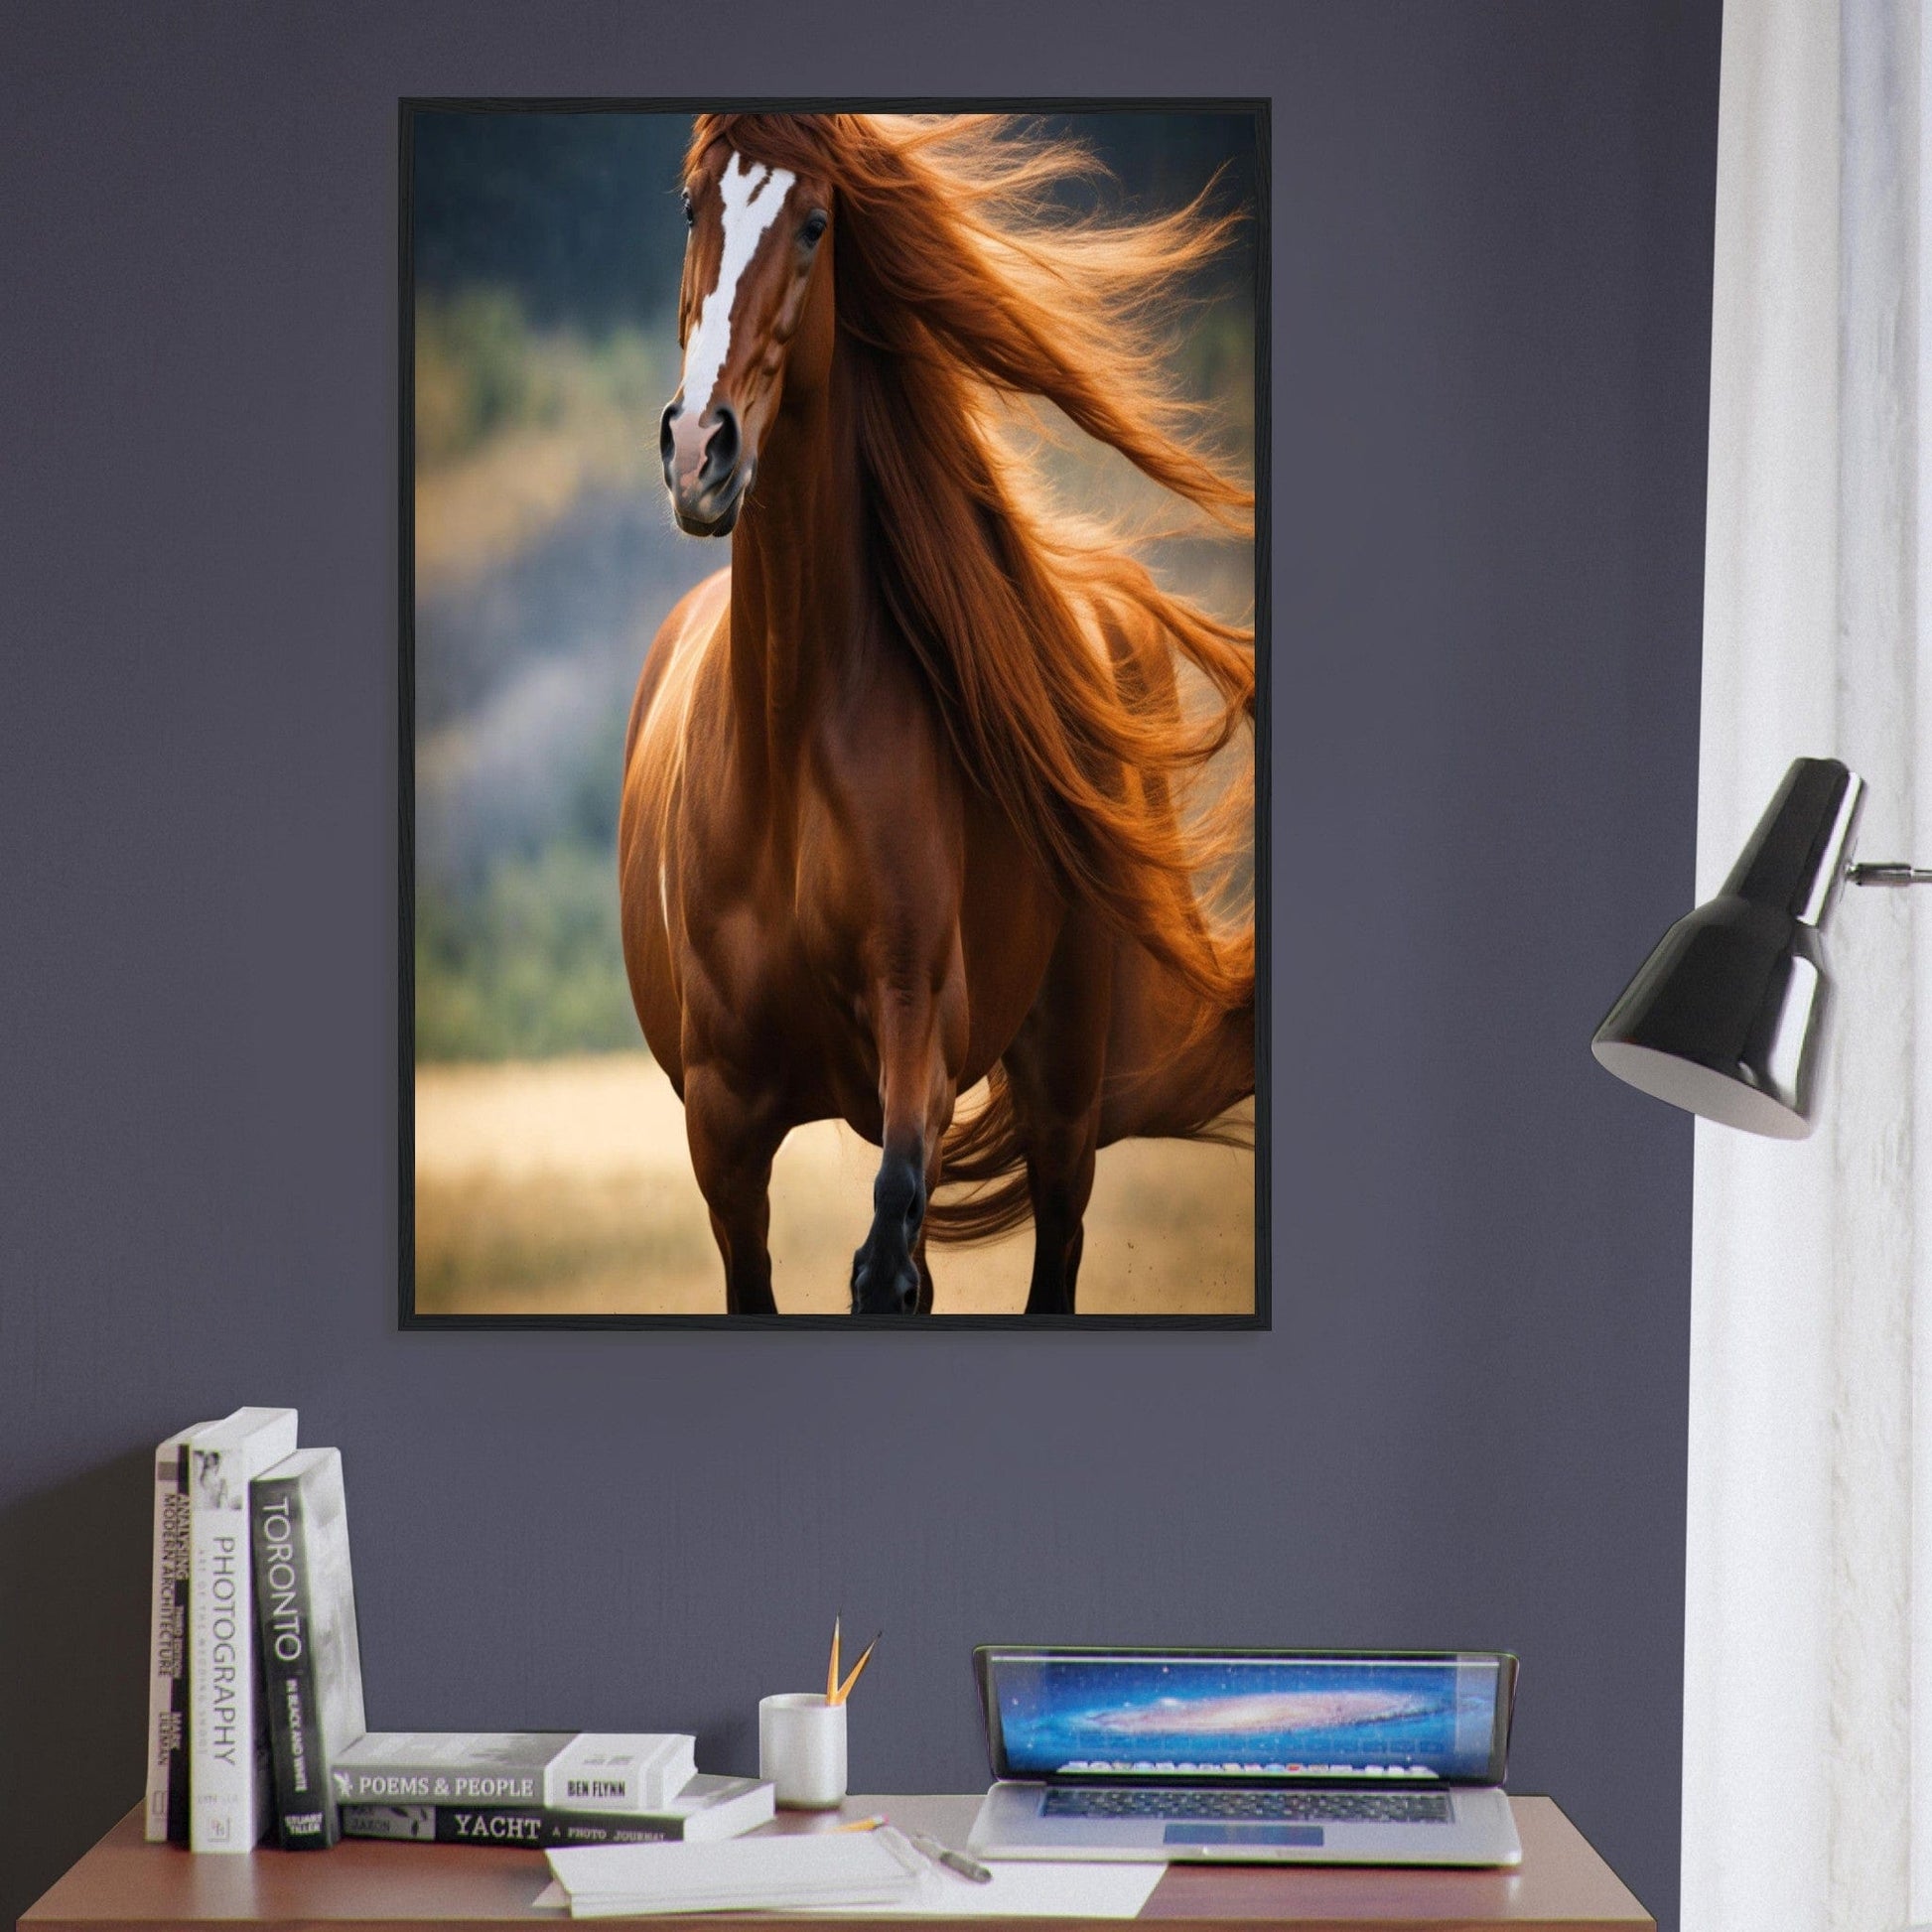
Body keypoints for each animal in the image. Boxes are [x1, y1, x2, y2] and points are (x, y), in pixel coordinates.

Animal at [618, 112, 1256, 1316]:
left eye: (817, 224)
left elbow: (888, 1254)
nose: (699, 456)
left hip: (1060, 1085)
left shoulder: (919, 1026)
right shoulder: (722, 1123)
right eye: (689, 207)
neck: (786, 736)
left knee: (1047, 1244)